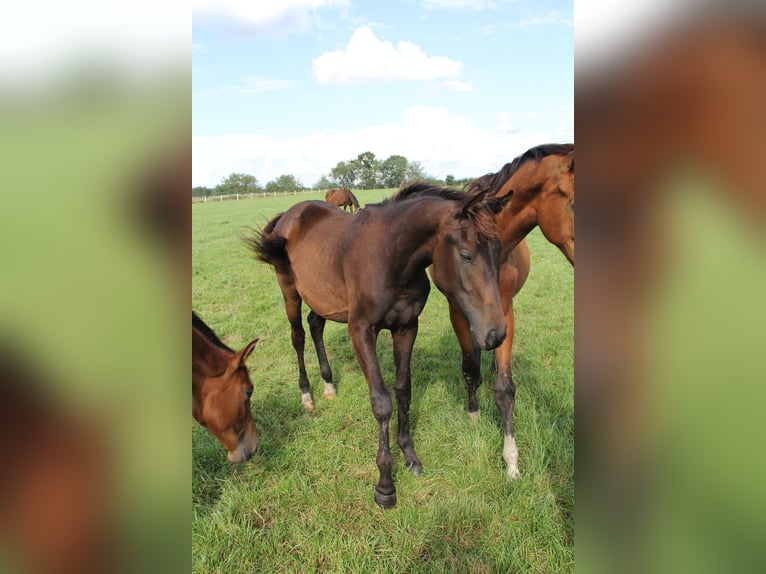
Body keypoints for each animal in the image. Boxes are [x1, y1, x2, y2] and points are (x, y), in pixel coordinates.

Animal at [249, 183, 512, 508]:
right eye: (465, 255)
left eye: (499, 251)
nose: (496, 334)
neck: (391, 258)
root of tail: (288, 214)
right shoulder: (361, 330)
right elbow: (382, 401)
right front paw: (385, 485)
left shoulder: (406, 327)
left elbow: (403, 390)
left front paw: (410, 456)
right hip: (290, 291)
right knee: (298, 336)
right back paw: (307, 393)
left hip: (322, 297)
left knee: (315, 324)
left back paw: (328, 384)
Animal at [450, 144, 576, 482]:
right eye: (574, 204)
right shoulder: (458, 313)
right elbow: (470, 367)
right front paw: (473, 413)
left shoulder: (505, 314)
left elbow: (505, 389)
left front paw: (511, 460)